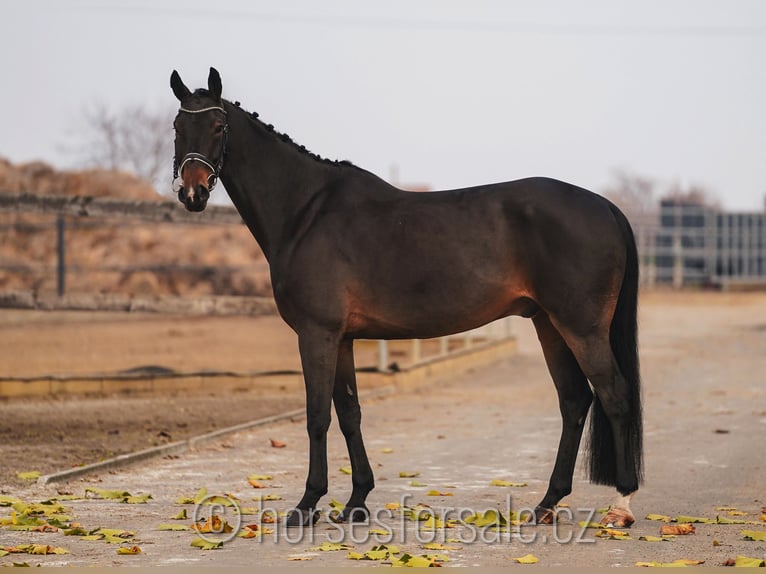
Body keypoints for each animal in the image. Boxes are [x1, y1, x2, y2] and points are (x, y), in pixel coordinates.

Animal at [169, 67, 643, 529]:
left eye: (217, 126)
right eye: (177, 127)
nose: (193, 193)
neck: (306, 212)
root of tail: (606, 206)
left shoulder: (316, 334)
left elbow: (317, 415)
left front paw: (307, 505)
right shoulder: (342, 338)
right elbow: (349, 413)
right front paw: (356, 502)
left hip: (582, 328)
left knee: (615, 396)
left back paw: (621, 505)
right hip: (549, 324)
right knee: (575, 400)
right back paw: (547, 503)